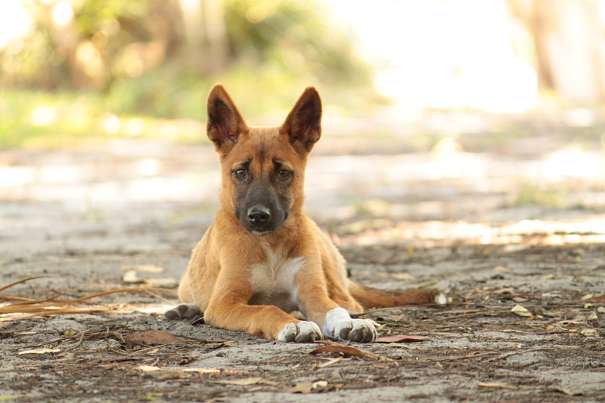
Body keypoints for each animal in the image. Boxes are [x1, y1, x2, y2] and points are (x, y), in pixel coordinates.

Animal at [165, 86, 444, 344]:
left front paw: (347, 323)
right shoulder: (225, 302)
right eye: (240, 172)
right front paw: (292, 324)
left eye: (283, 173)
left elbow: (333, 309)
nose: (259, 216)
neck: (270, 243)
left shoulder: (312, 293)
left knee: (348, 301)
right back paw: (186, 308)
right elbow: (265, 308)